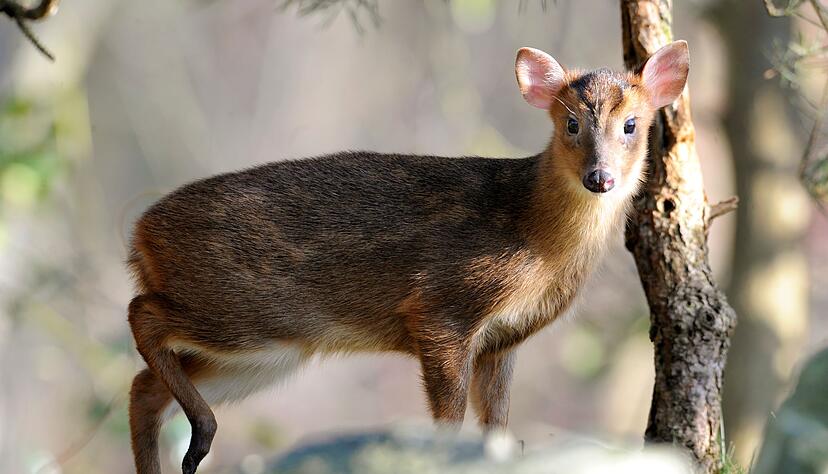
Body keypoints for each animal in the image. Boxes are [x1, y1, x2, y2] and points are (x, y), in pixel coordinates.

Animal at [126, 41, 689, 474]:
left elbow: (497, 425)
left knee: (143, 388)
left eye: (632, 125)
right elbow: (450, 422)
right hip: (241, 307)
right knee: (141, 315)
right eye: (571, 124)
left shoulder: (504, 339)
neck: (537, 238)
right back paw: (202, 432)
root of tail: (140, 236)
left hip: (266, 350)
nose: (600, 177)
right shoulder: (442, 307)